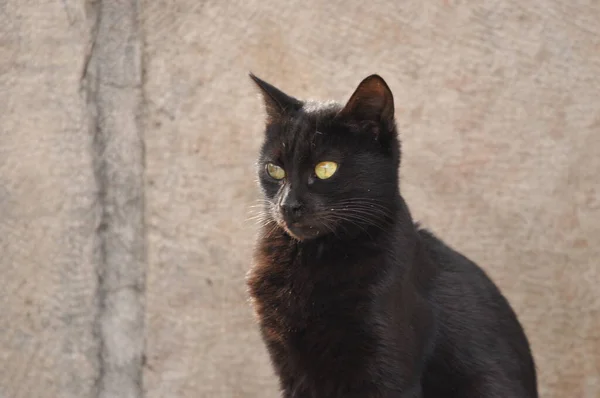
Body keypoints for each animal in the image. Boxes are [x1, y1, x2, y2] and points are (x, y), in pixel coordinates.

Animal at [246, 73, 536, 396]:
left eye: (325, 169)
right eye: (274, 169)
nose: (288, 205)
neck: (310, 260)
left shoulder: (385, 367)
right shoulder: (291, 368)